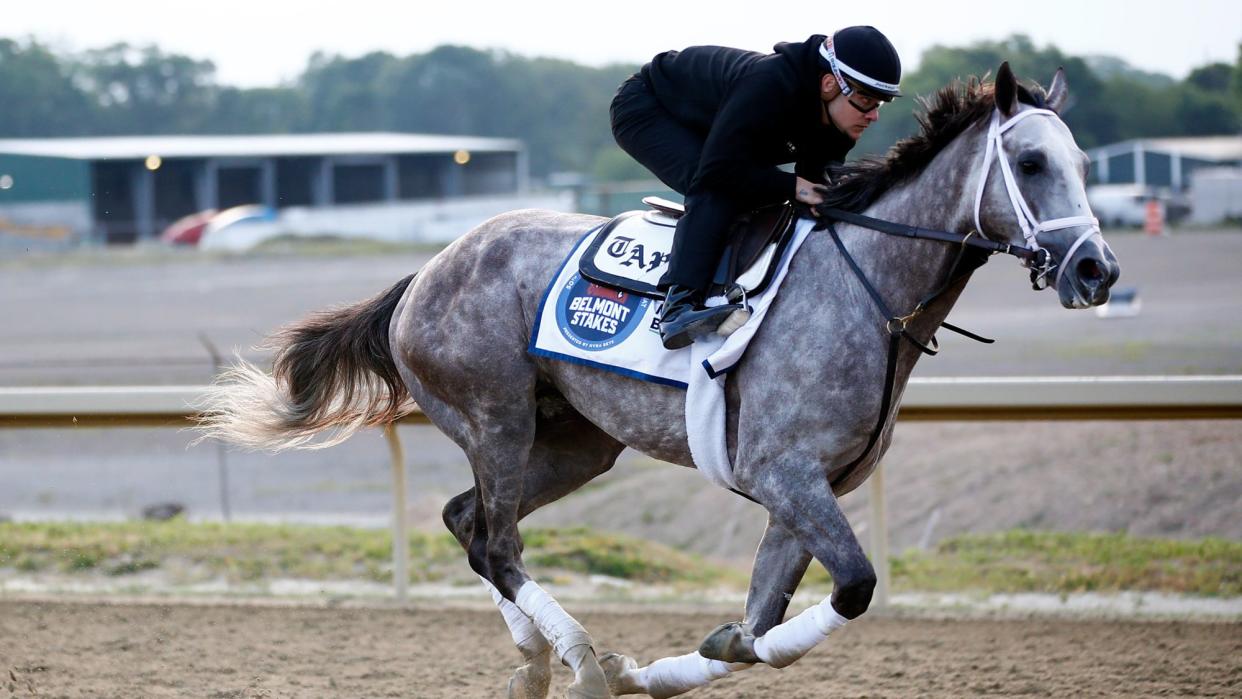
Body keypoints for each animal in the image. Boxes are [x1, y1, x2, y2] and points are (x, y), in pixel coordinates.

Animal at [201, 63, 1117, 695]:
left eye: (1080, 161)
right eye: (1031, 162)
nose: (1096, 268)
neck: (871, 292)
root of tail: (428, 270)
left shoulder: (808, 490)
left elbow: (758, 626)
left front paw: (664, 667)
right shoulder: (783, 472)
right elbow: (851, 588)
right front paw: (634, 666)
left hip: (578, 441)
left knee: (470, 524)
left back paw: (537, 661)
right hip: (495, 418)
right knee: (497, 541)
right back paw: (575, 659)